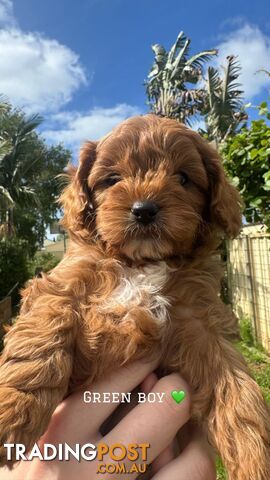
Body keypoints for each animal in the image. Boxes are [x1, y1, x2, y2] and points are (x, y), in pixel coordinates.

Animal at [0, 114, 270, 478]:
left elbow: (238, 389)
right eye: (112, 179)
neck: (140, 263)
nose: (144, 209)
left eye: (183, 178)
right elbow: (43, 331)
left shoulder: (199, 320)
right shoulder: (61, 283)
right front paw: (13, 409)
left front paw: (256, 458)